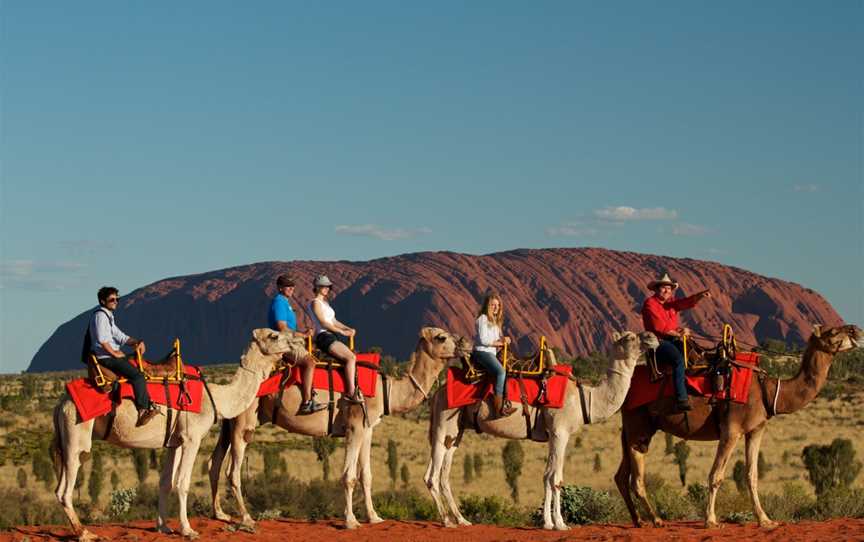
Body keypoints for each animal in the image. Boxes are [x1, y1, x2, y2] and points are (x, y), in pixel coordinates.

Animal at [50, 330, 302, 540]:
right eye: (273, 335)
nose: (298, 340)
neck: (216, 398)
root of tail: (61, 403)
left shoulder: (175, 441)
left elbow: (165, 482)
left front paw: (163, 527)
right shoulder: (192, 438)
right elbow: (183, 482)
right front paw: (188, 529)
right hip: (76, 434)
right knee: (64, 489)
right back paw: (84, 533)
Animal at [208, 328, 466, 532]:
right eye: (442, 336)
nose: (464, 344)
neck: (388, 390)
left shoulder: (368, 429)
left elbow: (366, 475)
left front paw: (374, 517)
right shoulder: (354, 426)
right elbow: (349, 476)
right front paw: (351, 521)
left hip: (230, 422)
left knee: (214, 462)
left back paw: (220, 514)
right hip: (245, 421)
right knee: (233, 470)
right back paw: (246, 518)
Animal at [422, 332, 660, 532]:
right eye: (630, 337)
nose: (652, 337)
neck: (585, 399)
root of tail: (438, 392)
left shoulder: (553, 434)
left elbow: (547, 475)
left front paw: (548, 522)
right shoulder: (560, 431)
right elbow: (556, 478)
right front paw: (561, 524)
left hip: (456, 431)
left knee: (443, 473)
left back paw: (462, 520)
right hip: (444, 421)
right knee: (432, 476)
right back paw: (446, 521)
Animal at [616, 326, 860, 528]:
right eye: (832, 332)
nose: (855, 330)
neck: (769, 391)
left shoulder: (755, 430)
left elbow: (752, 475)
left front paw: (765, 520)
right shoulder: (731, 430)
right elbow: (716, 476)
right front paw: (711, 520)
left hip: (631, 430)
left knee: (621, 475)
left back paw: (638, 521)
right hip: (639, 427)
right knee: (636, 478)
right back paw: (656, 520)